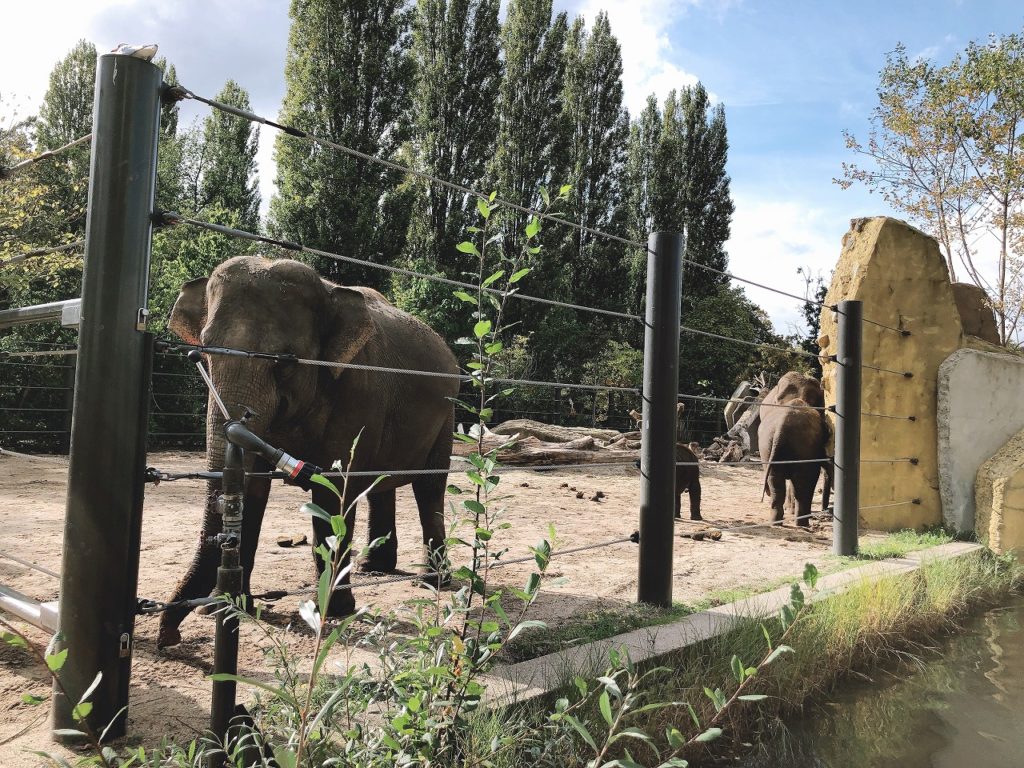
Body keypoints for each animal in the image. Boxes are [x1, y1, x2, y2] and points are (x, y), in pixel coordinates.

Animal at [156, 257, 460, 651]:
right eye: (205, 349)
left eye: (284, 361)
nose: (169, 638)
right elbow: (253, 488)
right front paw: (233, 607)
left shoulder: (358, 390)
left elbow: (331, 489)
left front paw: (332, 610)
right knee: (378, 485)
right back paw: (374, 569)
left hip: (447, 413)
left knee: (429, 487)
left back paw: (431, 581)